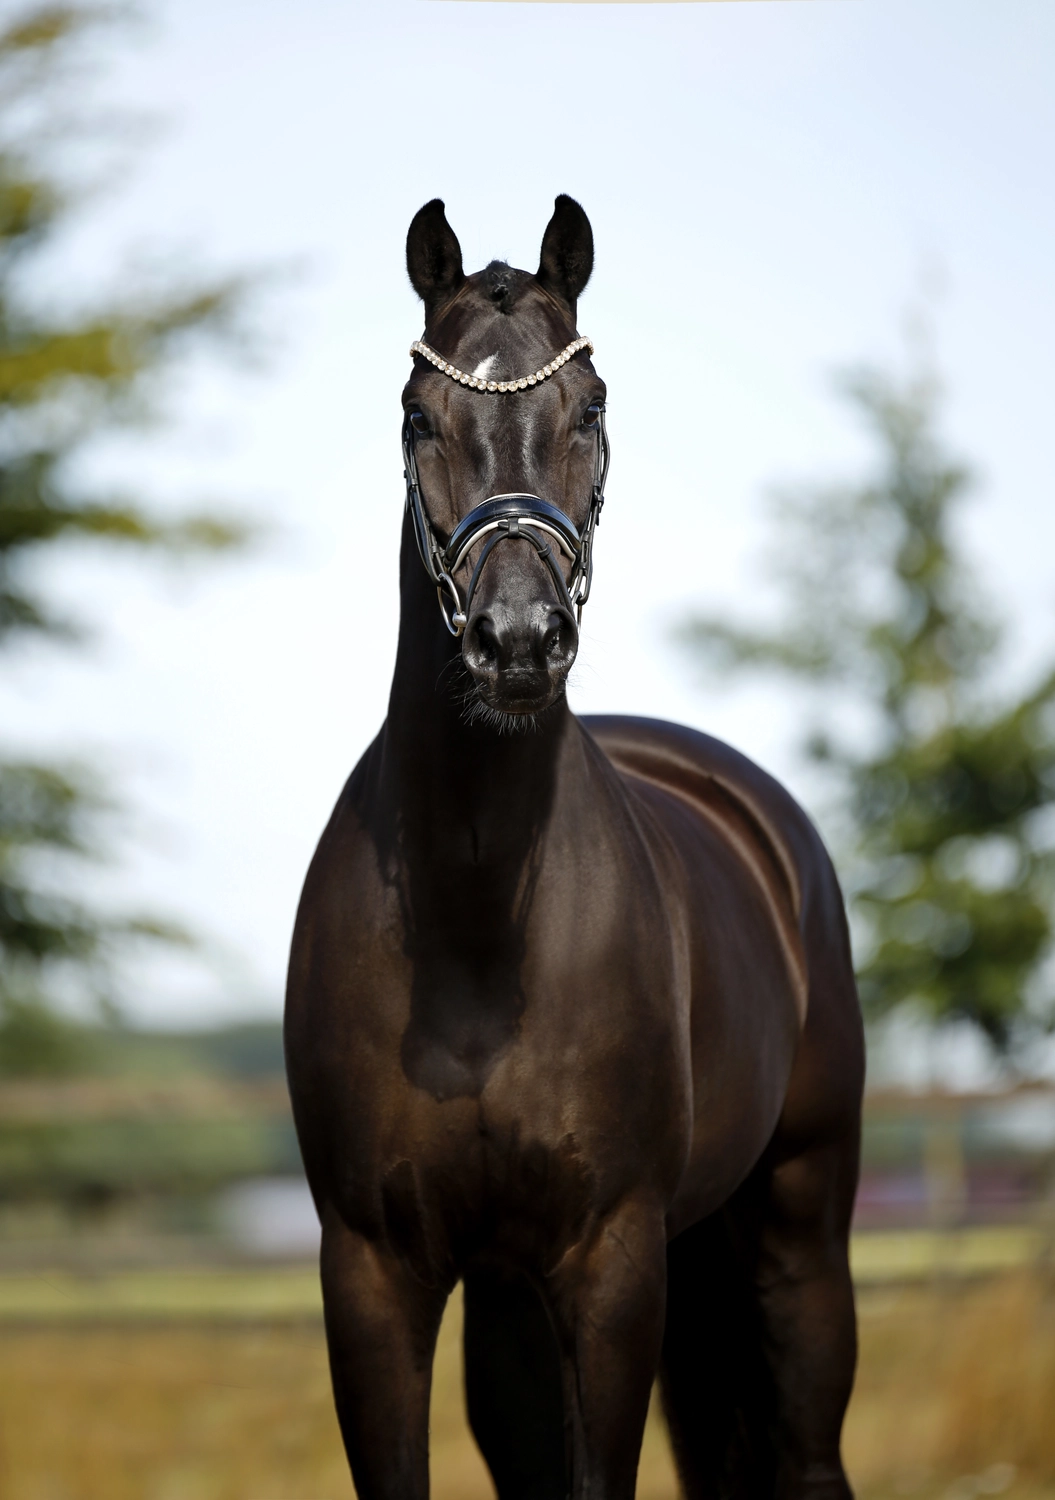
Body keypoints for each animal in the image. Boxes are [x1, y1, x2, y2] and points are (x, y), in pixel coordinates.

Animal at [284, 195, 864, 1500]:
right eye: (417, 414)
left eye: (591, 407)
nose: (515, 639)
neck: (477, 919)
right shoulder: (373, 1271)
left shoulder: (612, 1262)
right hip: (517, 1290)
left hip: (797, 1231)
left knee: (806, 1448)